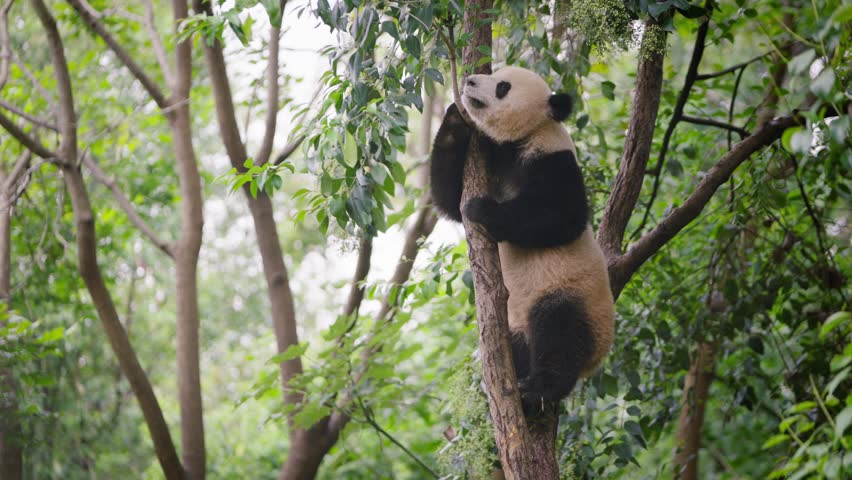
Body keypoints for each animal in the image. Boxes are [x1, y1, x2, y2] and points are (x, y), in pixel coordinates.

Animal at [429, 66, 615, 414]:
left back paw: (538, 390)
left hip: (574, 295)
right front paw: (455, 120)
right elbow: (449, 198)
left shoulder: (553, 160)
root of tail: (595, 361)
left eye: (502, 87)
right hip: (515, 325)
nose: (470, 81)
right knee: (520, 344)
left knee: (559, 331)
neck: (519, 140)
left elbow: (561, 217)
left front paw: (482, 209)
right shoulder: (490, 159)